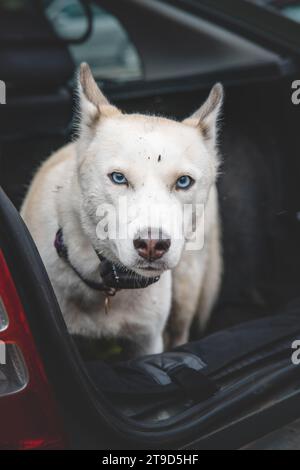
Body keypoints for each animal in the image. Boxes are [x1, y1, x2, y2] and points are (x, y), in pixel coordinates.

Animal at [20, 63, 223, 356]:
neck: (105, 284)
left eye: (183, 182)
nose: (152, 244)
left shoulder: (147, 341)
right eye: (118, 178)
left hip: (187, 286)